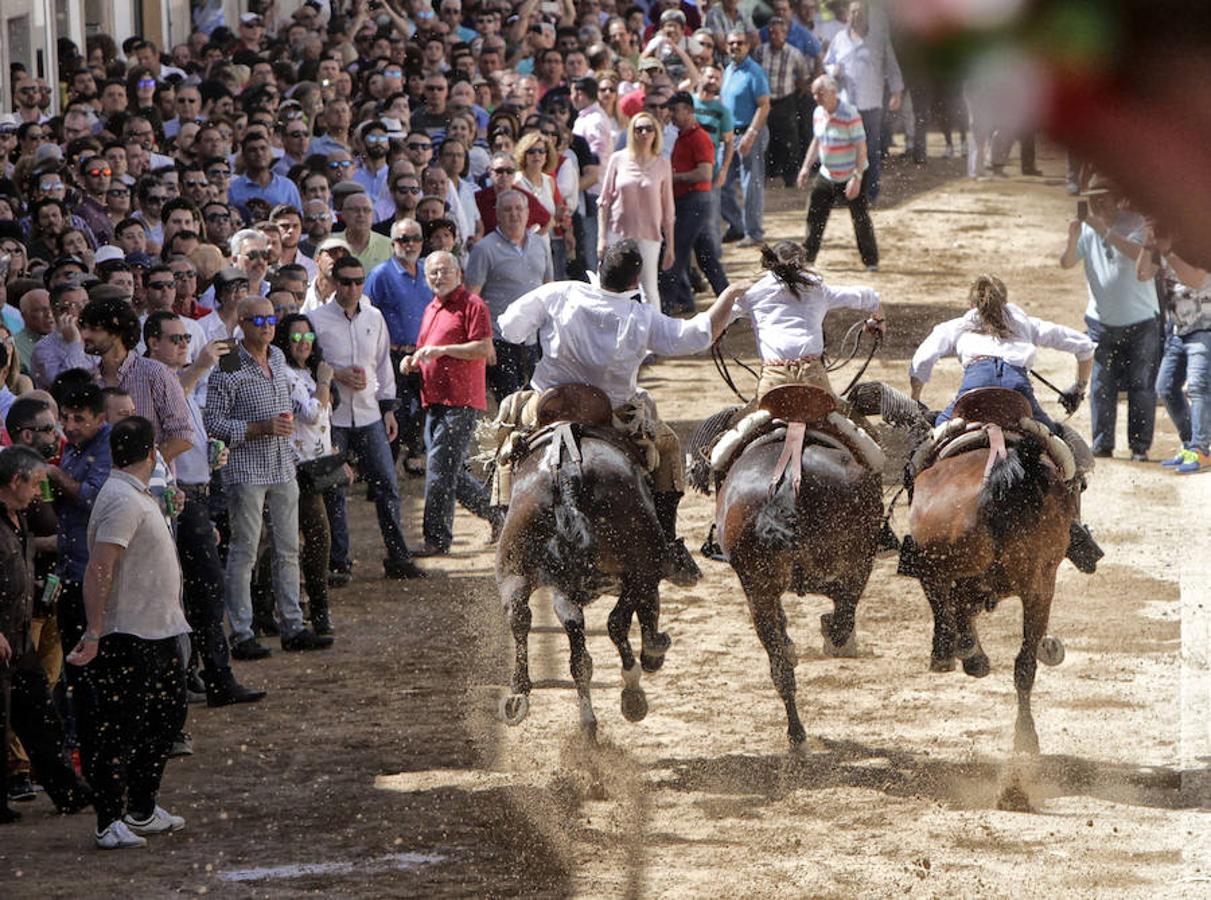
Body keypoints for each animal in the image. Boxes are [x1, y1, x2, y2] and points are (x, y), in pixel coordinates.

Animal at [496, 382, 678, 741]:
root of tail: (566, 473)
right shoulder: (642, 573)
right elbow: (640, 613)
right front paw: (651, 652)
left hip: (516, 570)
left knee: (528, 620)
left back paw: (524, 699)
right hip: (641, 563)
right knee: (615, 621)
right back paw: (633, 690)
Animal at [712, 387, 886, 746]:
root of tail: (789, 481)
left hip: (758, 590)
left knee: (778, 661)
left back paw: (796, 732)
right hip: (857, 559)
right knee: (841, 614)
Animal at [900, 385, 1080, 751]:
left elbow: (953, 608)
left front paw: (964, 653)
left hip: (946, 564)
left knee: (947, 604)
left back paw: (954, 654)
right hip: (1040, 587)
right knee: (1024, 664)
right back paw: (1025, 738)